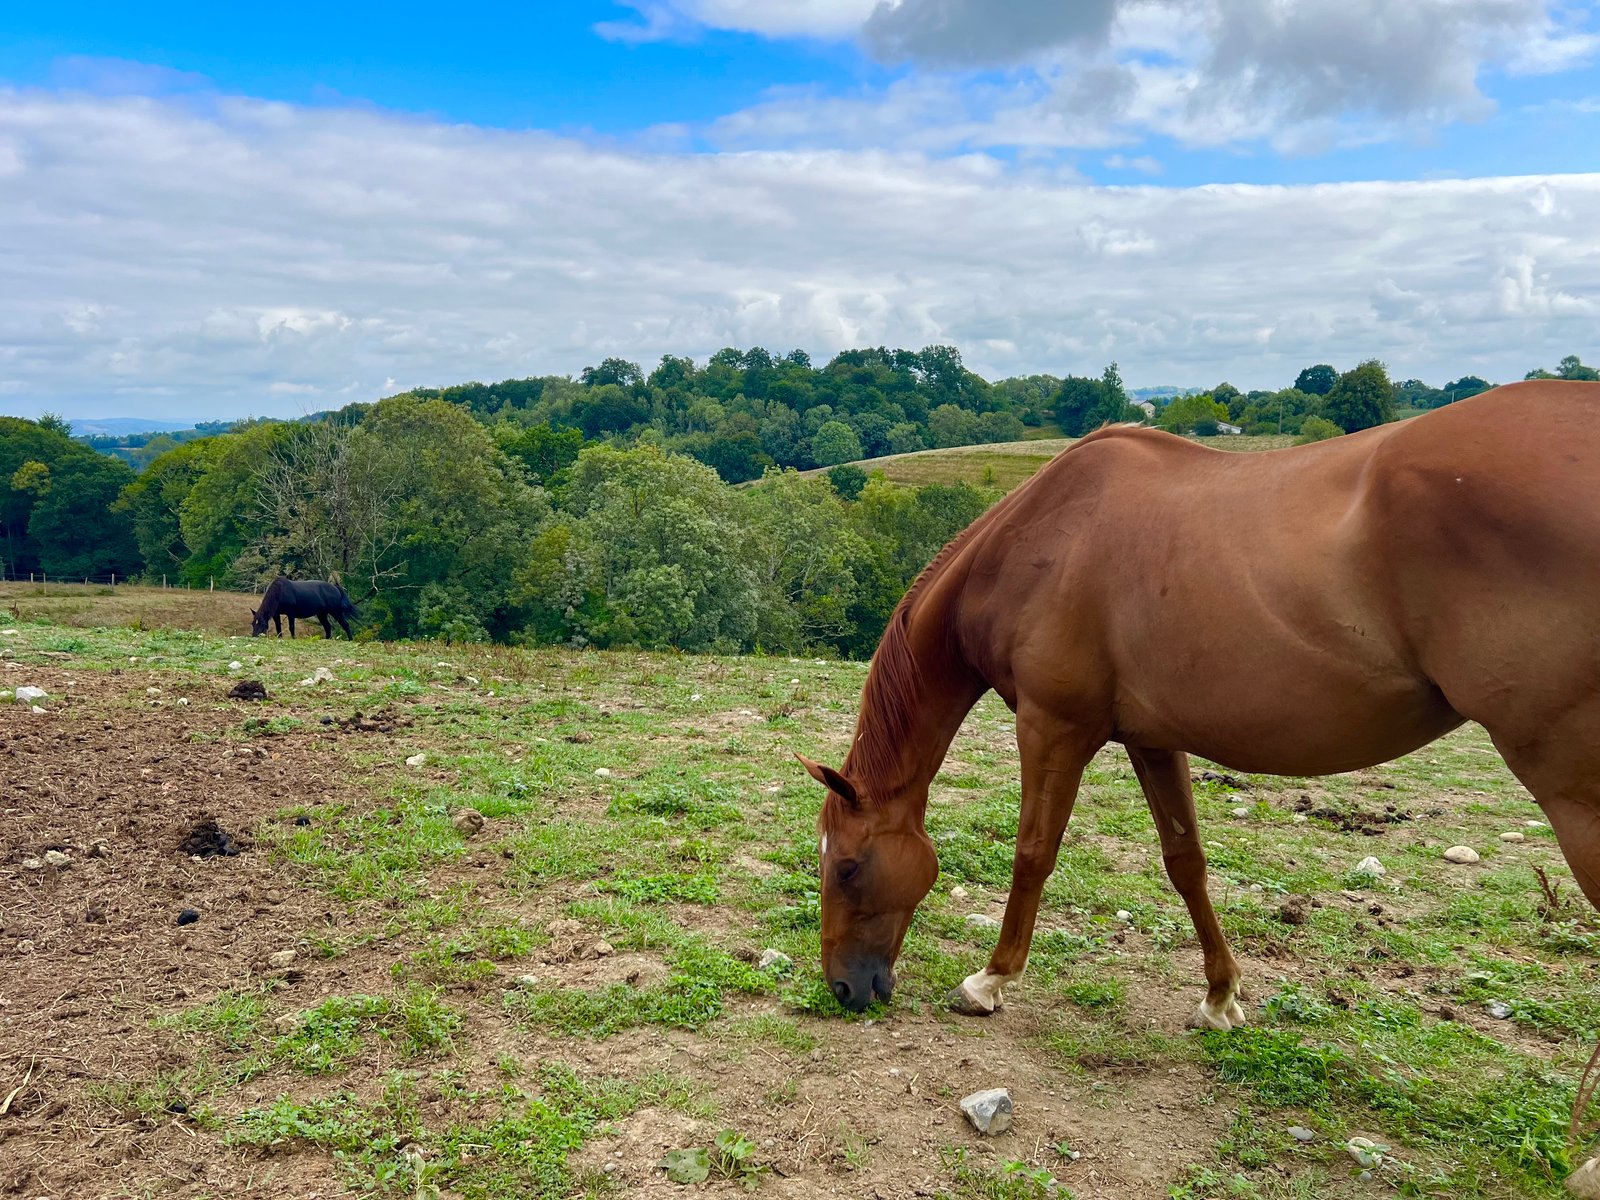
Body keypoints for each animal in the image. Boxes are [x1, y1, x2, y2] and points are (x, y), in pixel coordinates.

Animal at [799, 380, 1600, 1035]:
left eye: (847, 867)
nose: (844, 989)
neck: (1038, 544)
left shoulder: (1053, 728)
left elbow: (1033, 853)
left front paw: (989, 982)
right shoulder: (1152, 739)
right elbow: (1186, 861)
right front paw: (1220, 997)